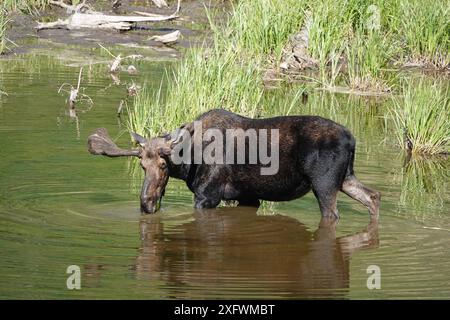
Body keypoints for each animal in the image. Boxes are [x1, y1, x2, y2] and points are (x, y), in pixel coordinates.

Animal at [87, 109, 380, 219]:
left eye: (163, 164)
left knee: (333, 214)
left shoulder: (208, 196)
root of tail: (352, 139)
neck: (189, 161)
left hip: (325, 184)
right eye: (142, 167)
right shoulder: (247, 196)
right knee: (373, 196)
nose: (146, 204)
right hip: (346, 178)